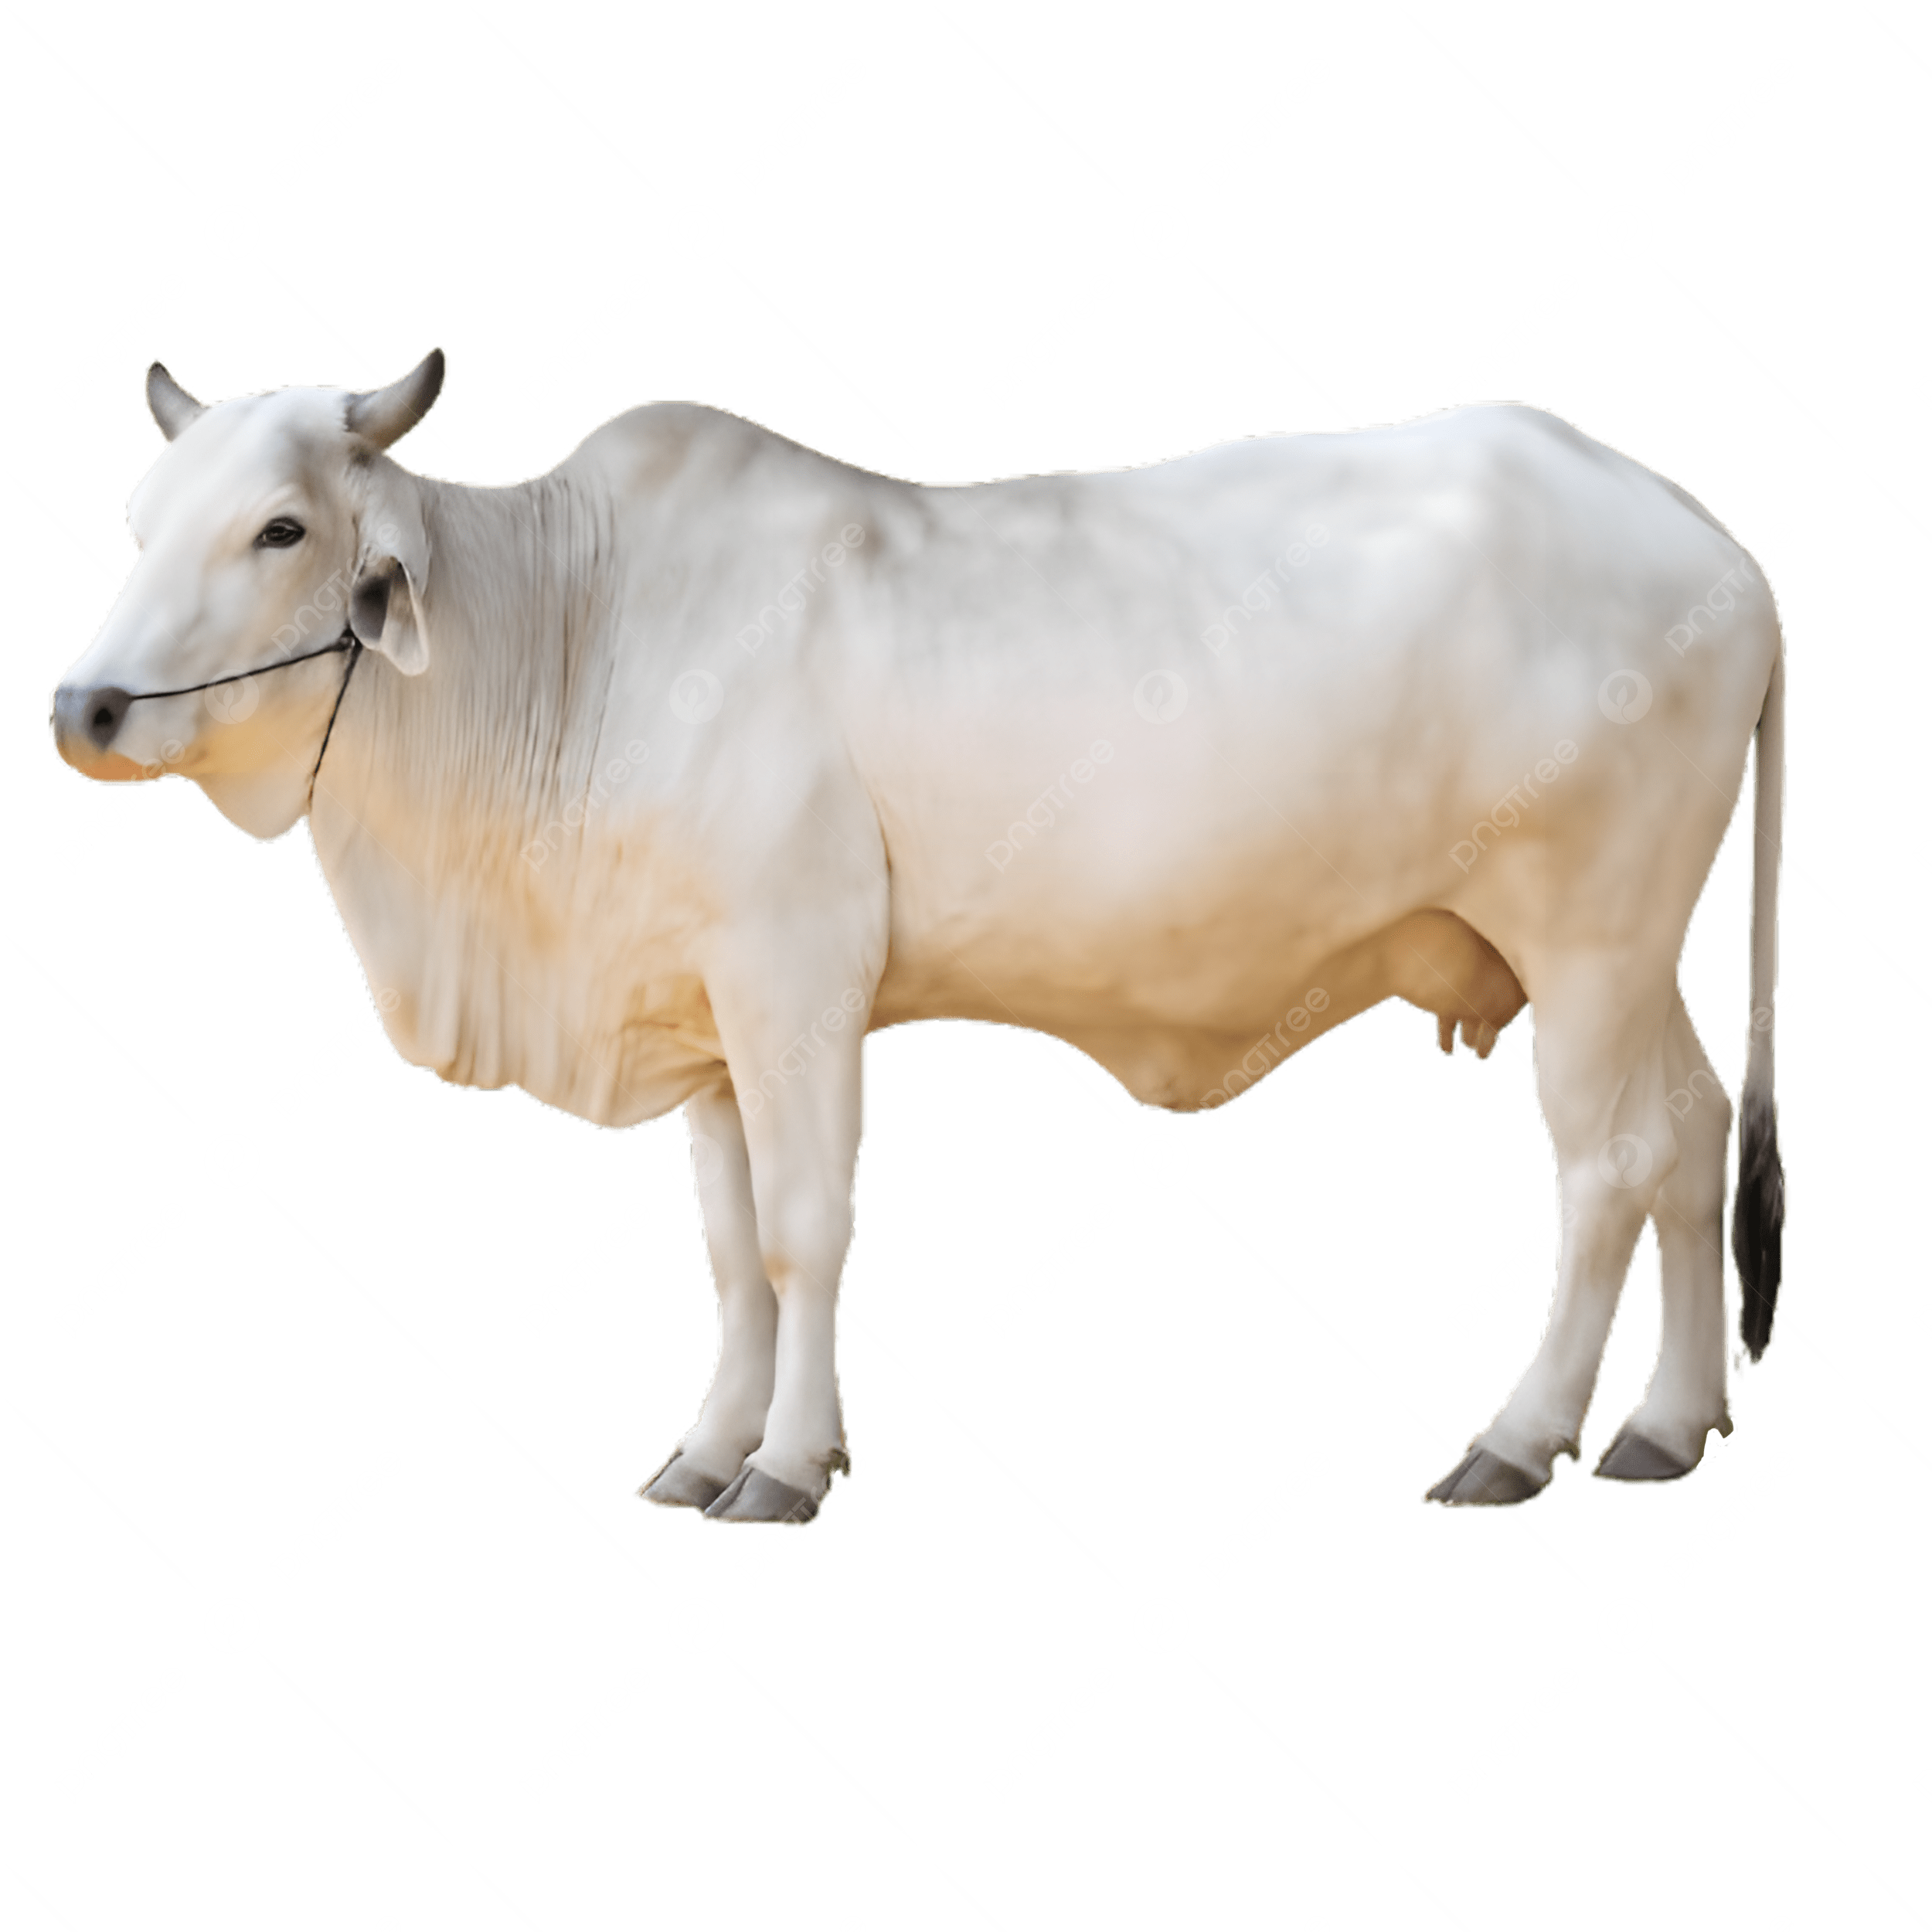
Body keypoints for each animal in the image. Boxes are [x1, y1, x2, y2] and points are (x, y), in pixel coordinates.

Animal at [49, 348, 1787, 1524]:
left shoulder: (795, 975)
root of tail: (1707, 539)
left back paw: (1520, 1440)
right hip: (1643, 957)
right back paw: (1666, 1425)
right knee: (1694, 1138)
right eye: (141, 518)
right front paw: (705, 1448)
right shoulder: (707, 1023)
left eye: (280, 529)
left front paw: (785, 1464)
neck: (572, 639)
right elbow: (728, 1252)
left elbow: (804, 1231)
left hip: (1585, 940)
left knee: (1609, 1165)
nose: (87, 708)